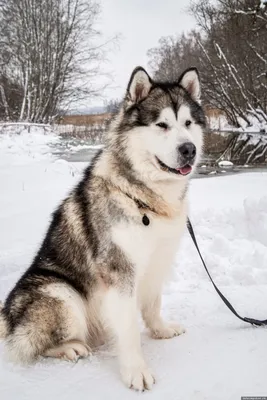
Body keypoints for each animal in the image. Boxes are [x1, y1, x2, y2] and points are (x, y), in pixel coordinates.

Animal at [0, 65, 206, 390]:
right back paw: (70, 347)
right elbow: (130, 329)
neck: (145, 198)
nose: (189, 149)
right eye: (161, 124)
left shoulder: (158, 260)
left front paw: (159, 330)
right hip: (61, 292)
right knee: (28, 344)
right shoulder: (119, 271)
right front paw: (136, 370)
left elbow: (153, 304)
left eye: (187, 123)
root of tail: (7, 317)